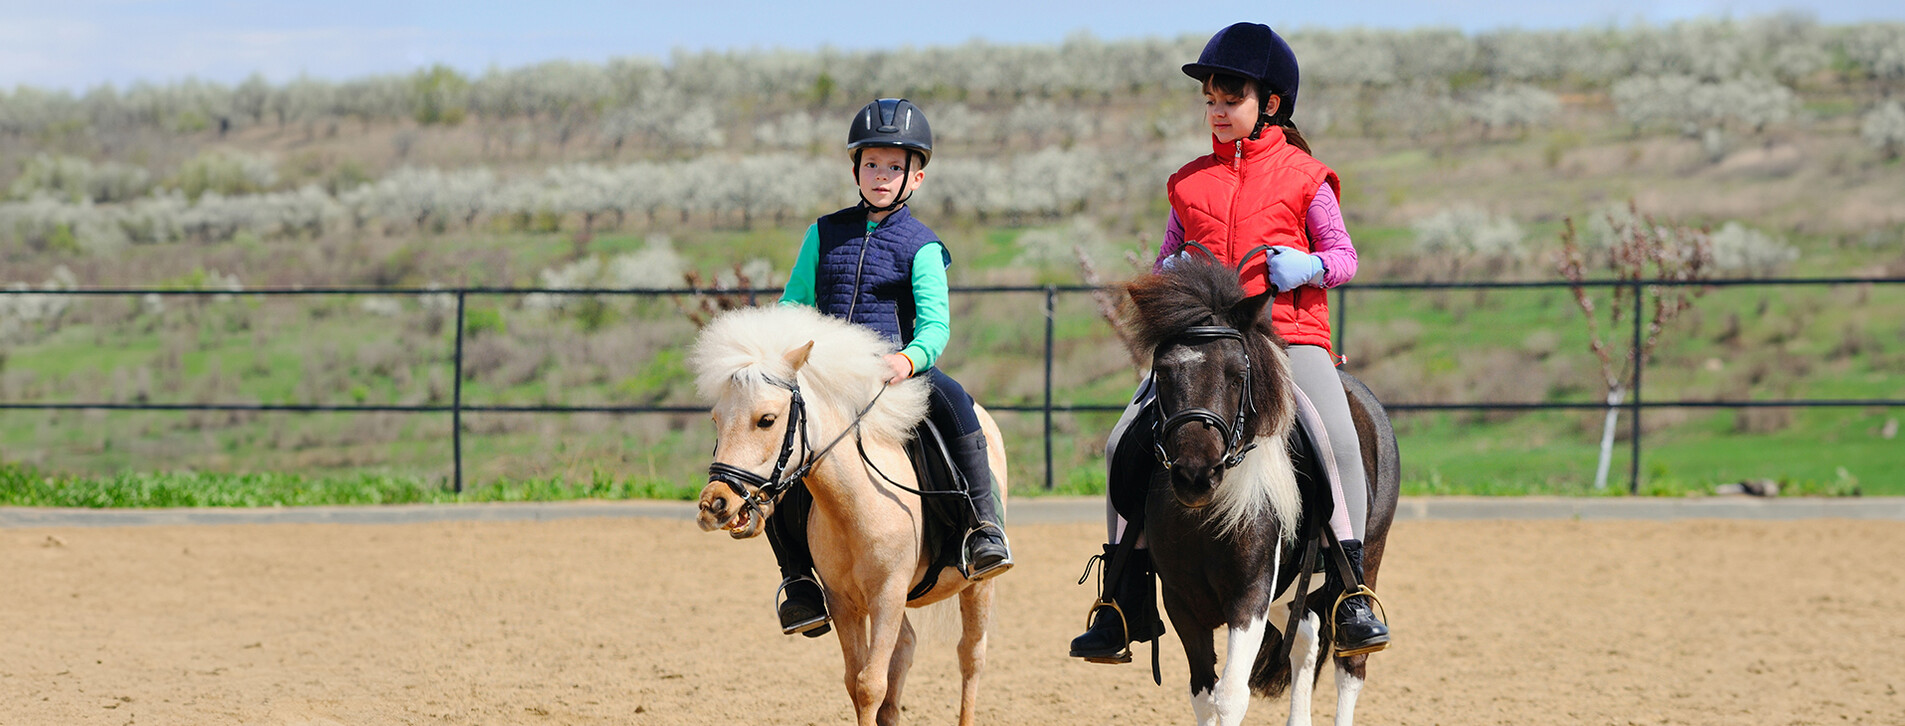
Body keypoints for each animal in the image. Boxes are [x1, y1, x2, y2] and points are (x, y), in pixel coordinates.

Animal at [689, 304, 1008, 726]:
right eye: (716, 419)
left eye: (767, 419)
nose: (715, 504)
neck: (854, 507)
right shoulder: (845, 601)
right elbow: (856, 684)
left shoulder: (887, 595)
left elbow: (869, 683)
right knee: (906, 649)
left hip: (978, 586)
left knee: (970, 657)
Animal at [1119, 255, 1400, 726]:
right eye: (1163, 373)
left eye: (1237, 376)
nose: (1195, 476)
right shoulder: (1181, 603)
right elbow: (1203, 694)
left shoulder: (1249, 595)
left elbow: (1231, 695)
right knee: (1306, 638)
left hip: (1368, 555)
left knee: (1350, 665)